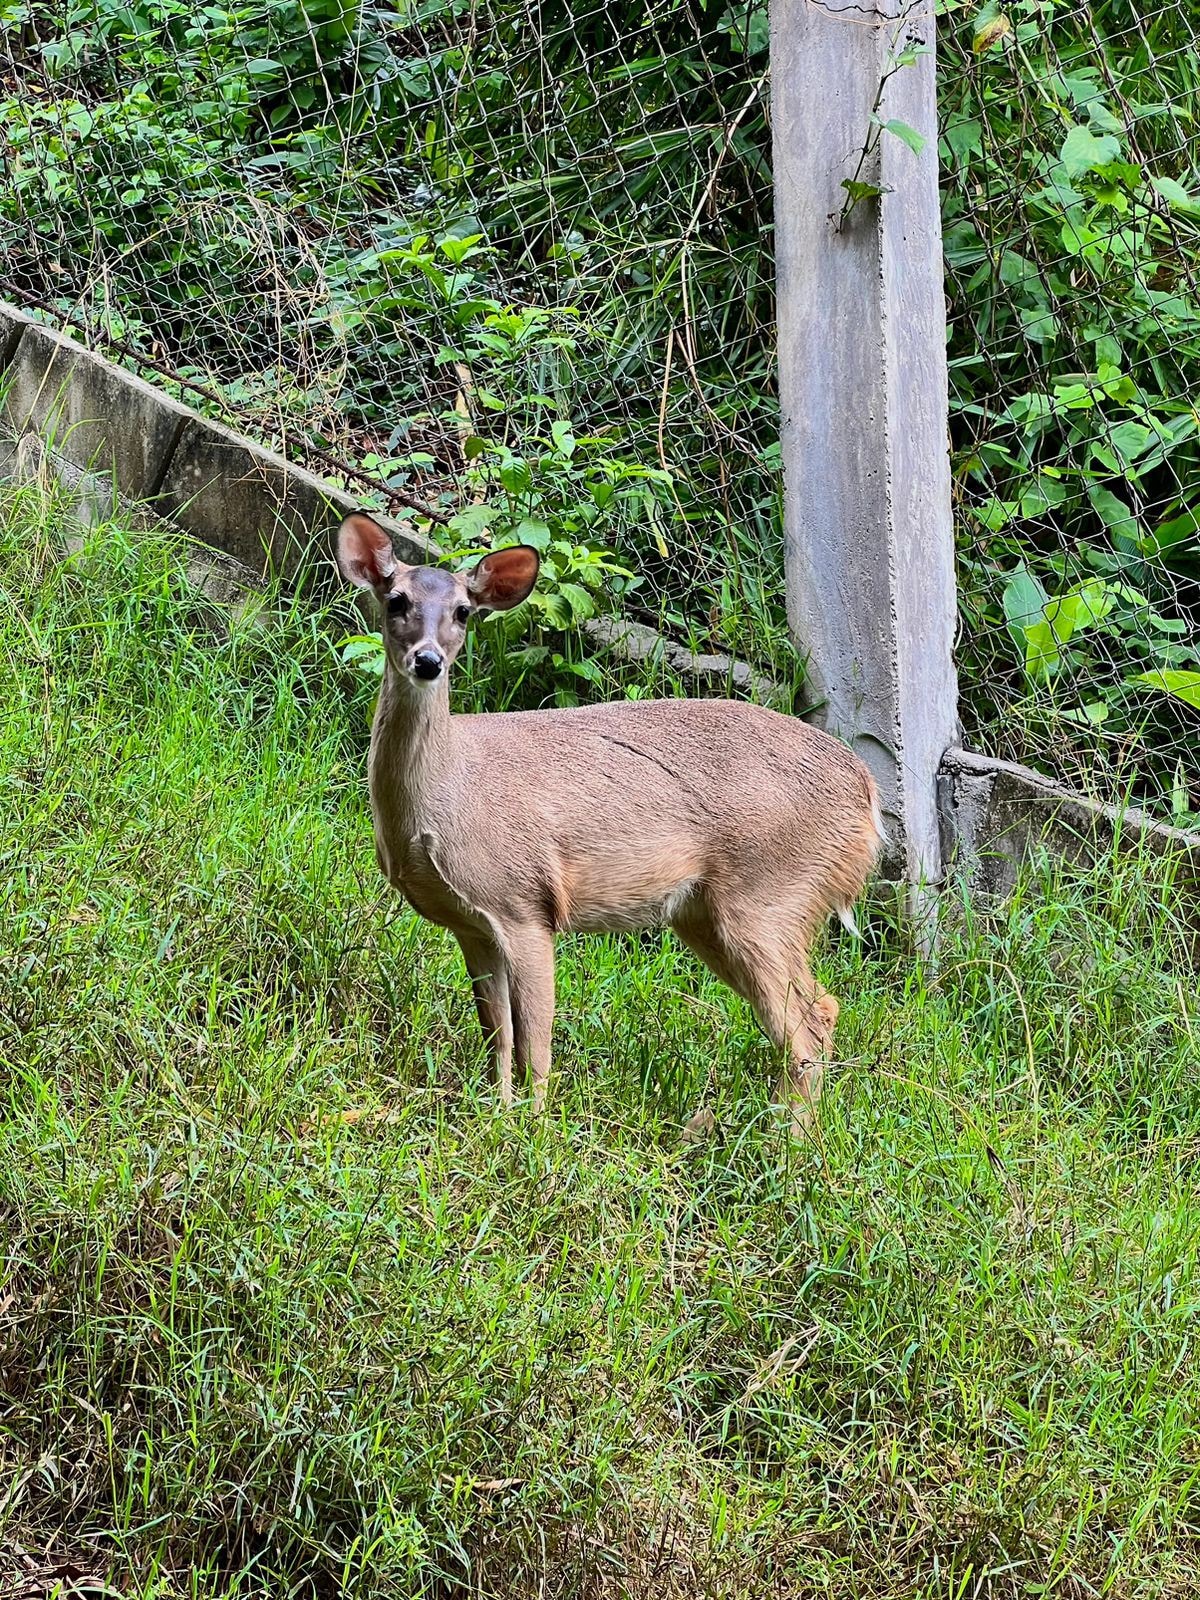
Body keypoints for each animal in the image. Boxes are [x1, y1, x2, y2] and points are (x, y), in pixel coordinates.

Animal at [336, 515, 883, 1139]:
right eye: (396, 600)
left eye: (463, 611)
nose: (428, 661)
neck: (451, 792)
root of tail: (866, 794)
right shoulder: (470, 926)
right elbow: (497, 1034)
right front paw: (494, 1115)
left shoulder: (525, 905)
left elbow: (536, 1042)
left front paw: (535, 1132)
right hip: (707, 913)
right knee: (814, 1012)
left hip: (771, 894)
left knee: (811, 1020)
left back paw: (786, 1142)